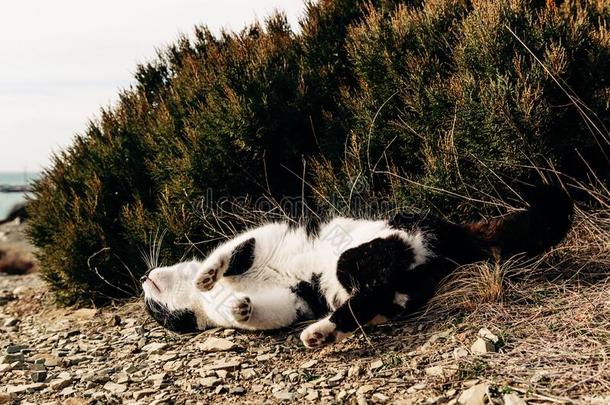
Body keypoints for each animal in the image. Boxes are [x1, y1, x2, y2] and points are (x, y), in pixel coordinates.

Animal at [141, 186, 568, 348]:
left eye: (149, 308)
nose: (143, 278)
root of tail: (450, 233)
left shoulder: (263, 238)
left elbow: (229, 253)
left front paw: (207, 277)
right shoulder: (289, 302)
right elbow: (261, 311)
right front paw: (240, 307)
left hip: (359, 253)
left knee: (370, 290)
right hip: (378, 281)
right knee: (371, 301)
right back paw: (319, 333)